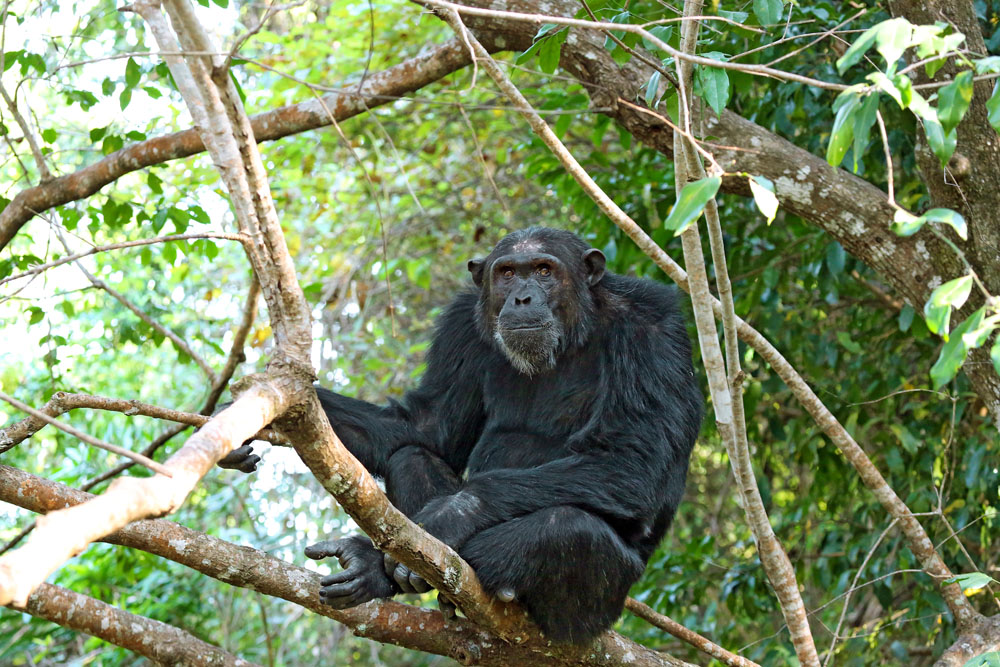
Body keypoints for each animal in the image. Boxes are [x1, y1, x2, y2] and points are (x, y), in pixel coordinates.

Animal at [226, 227, 700, 644]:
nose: (522, 297)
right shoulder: (461, 325)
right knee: (412, 456)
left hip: (600, 609)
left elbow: (632, 458)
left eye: (544, 270)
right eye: (506, 273)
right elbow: (427, 426)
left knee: (567, 528)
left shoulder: (652, 330)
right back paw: (383, 569)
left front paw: (449, 517)